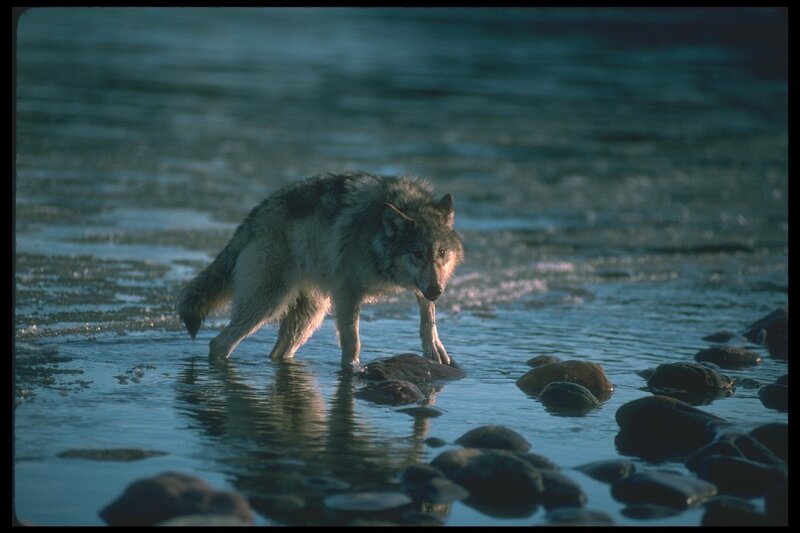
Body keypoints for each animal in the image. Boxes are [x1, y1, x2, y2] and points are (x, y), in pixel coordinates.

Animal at [178, 172, 464, 370]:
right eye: (417, 254)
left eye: (441, 253)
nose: (437, 291)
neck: (374, 236)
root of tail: (253, 217)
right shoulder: (347, 294)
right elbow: (352, 342)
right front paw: (353, 371)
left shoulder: (422, 284)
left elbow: (427, 313)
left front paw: (434, 347)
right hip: (269, 304)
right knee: (218, 343)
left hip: (308, 316)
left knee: (276, 351)